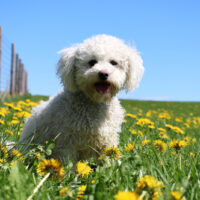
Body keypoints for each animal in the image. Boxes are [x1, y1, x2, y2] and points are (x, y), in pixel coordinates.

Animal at [18, 34, 144, 162]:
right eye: (92, 62)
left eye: (113, 62)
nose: (103, 73)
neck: (95, 102)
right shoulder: (66, 142)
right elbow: (67, 163)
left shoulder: (108, 142)